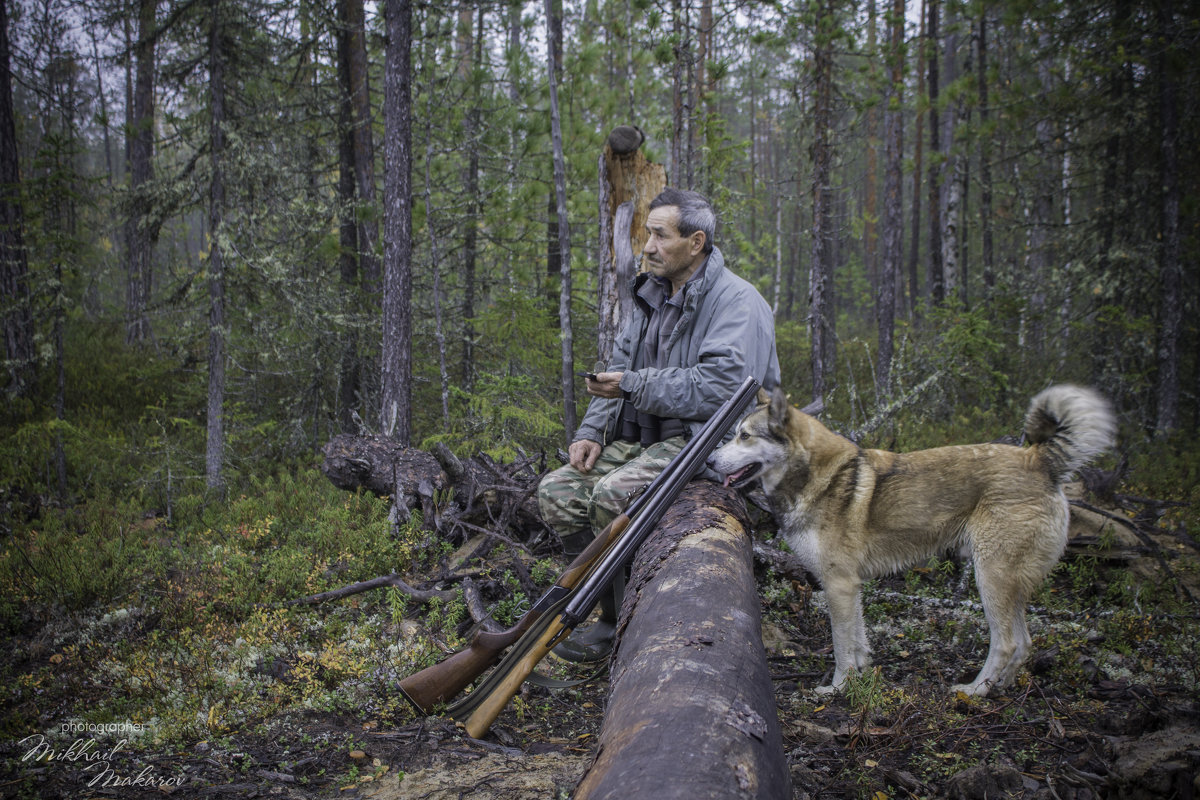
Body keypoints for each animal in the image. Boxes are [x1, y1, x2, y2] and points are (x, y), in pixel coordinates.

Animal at [710, 386, 1113, 695]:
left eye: (745, 435)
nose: (711, 460)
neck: (815, 476)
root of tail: (1038, 459)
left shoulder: (838, 584)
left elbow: (841, 647)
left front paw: (837, 688)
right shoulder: (849, 586)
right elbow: (857, 641)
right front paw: (859, 677)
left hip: (991, 578)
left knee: (1007, 643)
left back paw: (976, 692)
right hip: (1009, 582)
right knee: (1026, 642)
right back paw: (1002, 686)